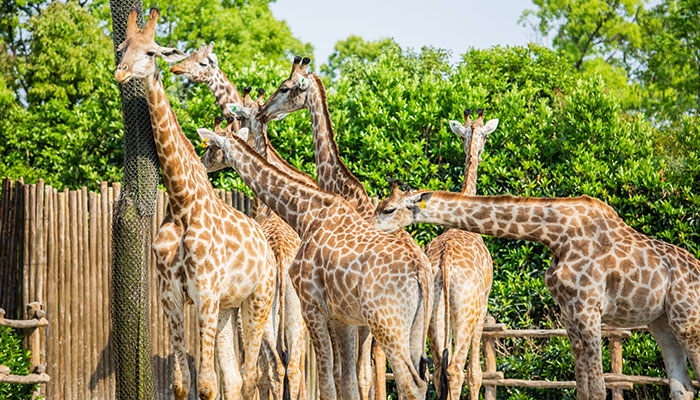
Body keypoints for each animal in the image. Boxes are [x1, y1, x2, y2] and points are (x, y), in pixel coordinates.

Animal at [112, 8, 274, 396]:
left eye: (151, 52)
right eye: (122, 48)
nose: (120, 72)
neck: (182, 201)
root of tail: (267, 247)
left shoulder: (205, 294)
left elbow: (206, 385)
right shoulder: (170, 296)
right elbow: (182, 383)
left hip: (259, 299)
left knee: (250, 377)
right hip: (229, 308)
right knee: (235, 378)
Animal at [196, 126, 432, 400]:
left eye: (210, 146)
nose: (201, 162)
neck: (305, 214)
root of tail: (420, 272)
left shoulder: (312, 306)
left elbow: (326, 382)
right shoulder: (342, 318)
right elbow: (347, 381)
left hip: (385, 324)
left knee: (410, 384)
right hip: (415, 330)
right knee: (420, 380)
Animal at [374, 187, 700, 400]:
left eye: (388, 209)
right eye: (380, 206)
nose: (369, 227)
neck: (555, 235)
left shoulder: (588, 308)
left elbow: (598, 389)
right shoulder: (570, 313)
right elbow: (583, 388)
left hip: (688, 322)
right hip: (663, 324)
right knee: (682, 388)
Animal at [422, 108, 498, 398]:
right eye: (486, 137)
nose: (479, 151)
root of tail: (443, 265)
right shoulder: (483, 307)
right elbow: (476, 374)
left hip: (432, 314)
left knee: (436, 371)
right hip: (465, 312)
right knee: (455, 370)